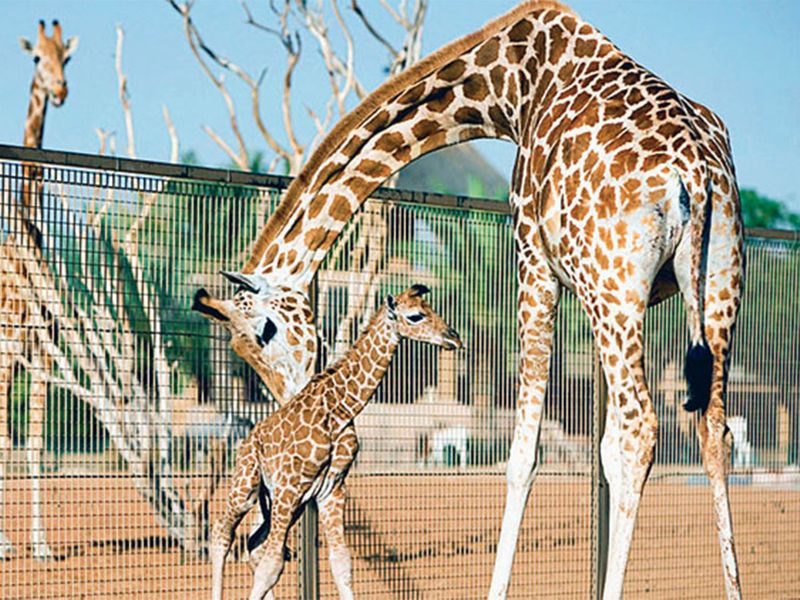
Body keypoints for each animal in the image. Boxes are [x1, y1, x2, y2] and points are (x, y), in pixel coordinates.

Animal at [200, 286, 462, 600]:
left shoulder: (331, 489)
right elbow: (272, 565)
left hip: (281, 501)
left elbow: (341, 563)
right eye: (415, 315)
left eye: (432, 309)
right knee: (222, 533)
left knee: (253, 544)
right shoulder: (291, 486)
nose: (454, 338)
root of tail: (250, 437)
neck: (341, 408)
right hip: (248, 484)